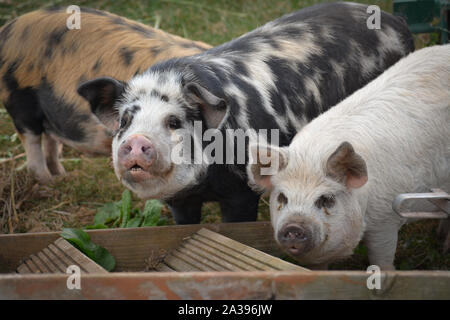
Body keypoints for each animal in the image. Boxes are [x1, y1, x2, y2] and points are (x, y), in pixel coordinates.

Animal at [0, 7, 211, 182]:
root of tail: (8, 29)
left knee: (50, 139)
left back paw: (62, 176)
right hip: (19, 102)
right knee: (33, 147)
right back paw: (49, 183)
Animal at [78, 2, 414, 224]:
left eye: (173, 121)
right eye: (124, 121)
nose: (136, 140)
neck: (206, 184)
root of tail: (395, 21)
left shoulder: (242, 191)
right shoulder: (181, 200)